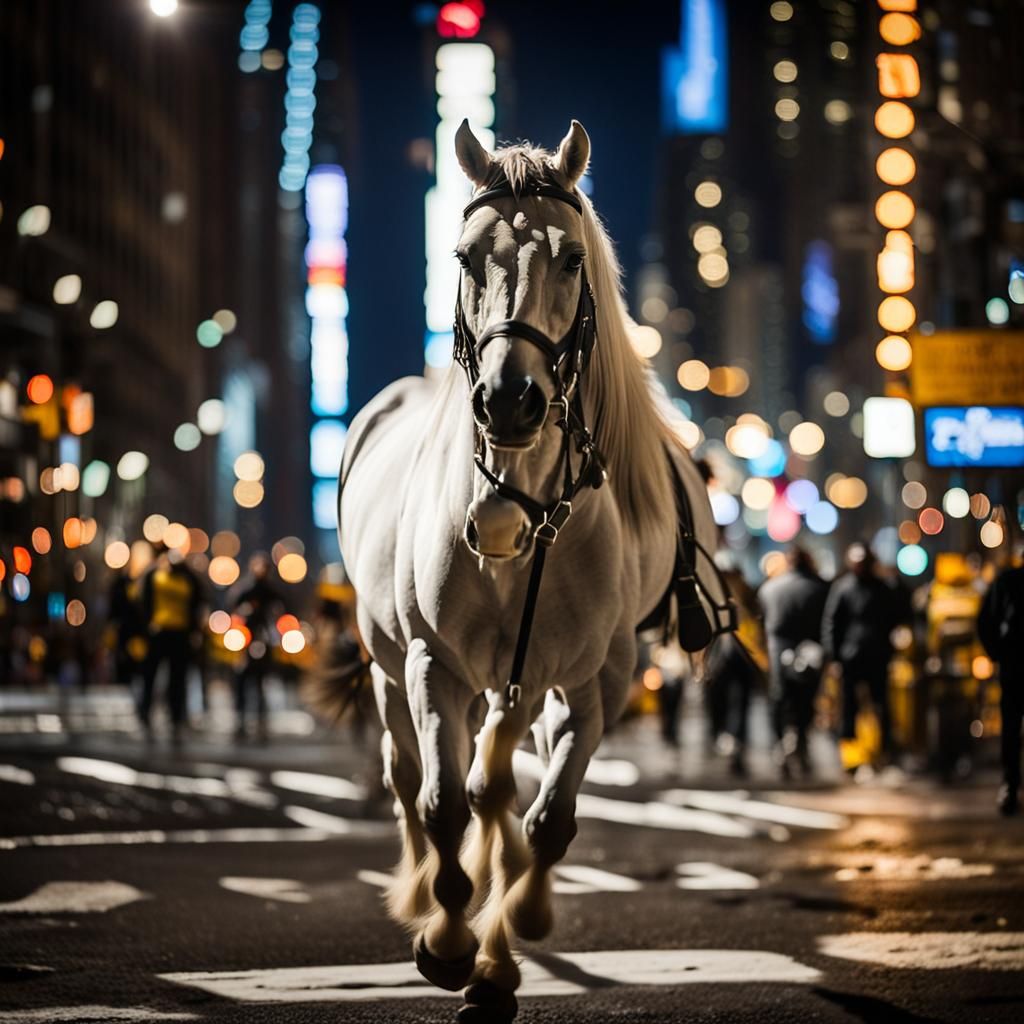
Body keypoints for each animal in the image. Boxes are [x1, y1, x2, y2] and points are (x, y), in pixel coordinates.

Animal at [336, 119, 725, 1022]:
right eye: (464, 256)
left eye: (573, 259)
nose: (510, 401)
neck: (519, 504)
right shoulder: (433, 664)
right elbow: (443, 803)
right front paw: (448, 939)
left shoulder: (596, 678)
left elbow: (548, 818)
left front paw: (511, 935)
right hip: (391, 666)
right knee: (410, 776)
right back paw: (430, 890)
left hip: (528, 680)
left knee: (500, 780)